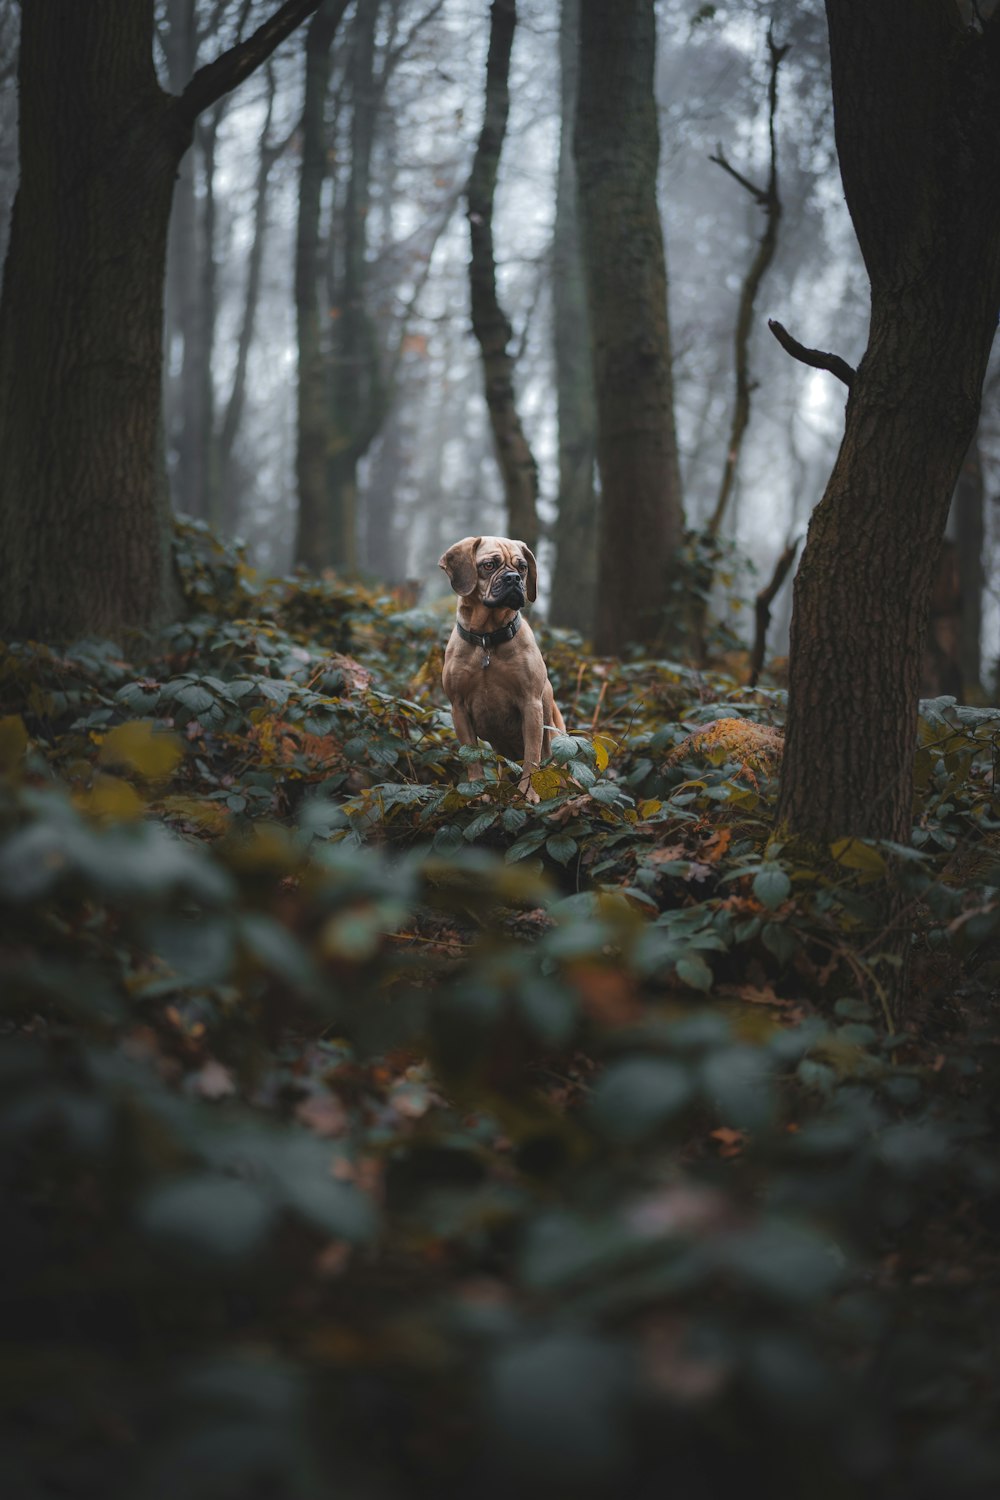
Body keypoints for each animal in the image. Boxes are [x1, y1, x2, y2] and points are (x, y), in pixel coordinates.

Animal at [434, 537, 563, 804]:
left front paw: (527, 793)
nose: (513, 578)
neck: (488, 638)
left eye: (522, 567)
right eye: (489, 565)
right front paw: (478, 792)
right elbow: (472, 758)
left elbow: (532, 757)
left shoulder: (531, 705)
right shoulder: (458, 708)